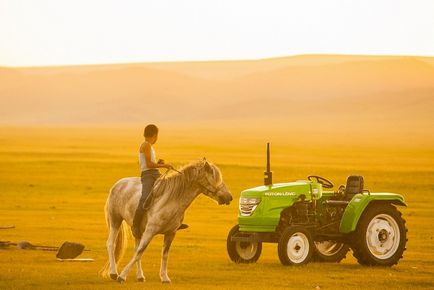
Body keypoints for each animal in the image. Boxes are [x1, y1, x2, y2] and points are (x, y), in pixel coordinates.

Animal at [99, 159, 232, 284]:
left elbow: (163, 255)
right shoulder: (150, 231)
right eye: (215, 178)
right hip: (115, 220)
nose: (229, 197)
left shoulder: (170, 233)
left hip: (137, 229)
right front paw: (122, 276)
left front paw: (164, 278)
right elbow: (140, 252)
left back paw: (140, 276)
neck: (172, 200)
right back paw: (113, 273)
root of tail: (118, 184)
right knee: (111, 243)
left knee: (136, 247)